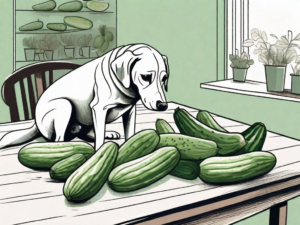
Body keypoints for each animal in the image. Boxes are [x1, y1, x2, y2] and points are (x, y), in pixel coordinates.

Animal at [0, 43, 169, 150]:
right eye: (145, 77)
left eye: (164, 78)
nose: (163, 106)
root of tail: (35, 121)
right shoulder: (99, 109)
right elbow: (99, 139)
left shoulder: (130, 111)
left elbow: (129, 134)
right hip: (64, 106)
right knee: (59, 139)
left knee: (86, 133)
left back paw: (108, 133)